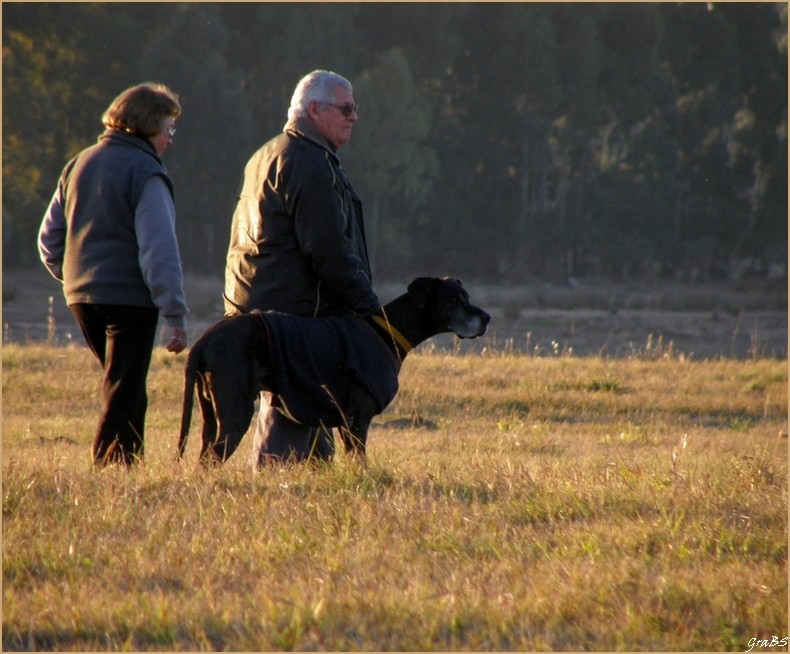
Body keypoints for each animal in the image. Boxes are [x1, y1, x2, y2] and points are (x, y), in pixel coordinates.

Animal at [176, 276, 492, 466]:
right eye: (454, 300)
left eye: (466, 296)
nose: (487, 317)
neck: (388, 329)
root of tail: (204, 340)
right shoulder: (358, 419)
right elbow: (360, 462)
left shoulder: (344, 422)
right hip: (235, 411)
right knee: (213, 458)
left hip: (209, 410)